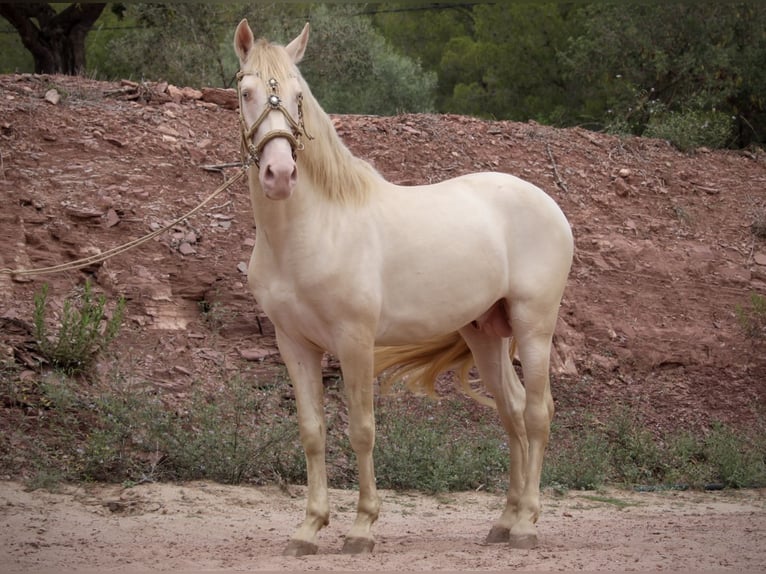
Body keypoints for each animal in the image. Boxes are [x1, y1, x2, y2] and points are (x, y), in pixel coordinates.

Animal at [234, 19, 576, 560]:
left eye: (298, 95)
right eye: (246, 92)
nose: (280, 174)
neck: (313, 228)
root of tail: (549, 204)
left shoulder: (354, 342)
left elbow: (362, 430)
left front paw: (361, 529)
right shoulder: (294, 345)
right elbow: (312, 432)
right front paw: (308, 529)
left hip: (533, 326)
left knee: (538, 413)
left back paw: (526, 526)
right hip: (485, 334)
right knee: (513, 412)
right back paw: (505, 521)